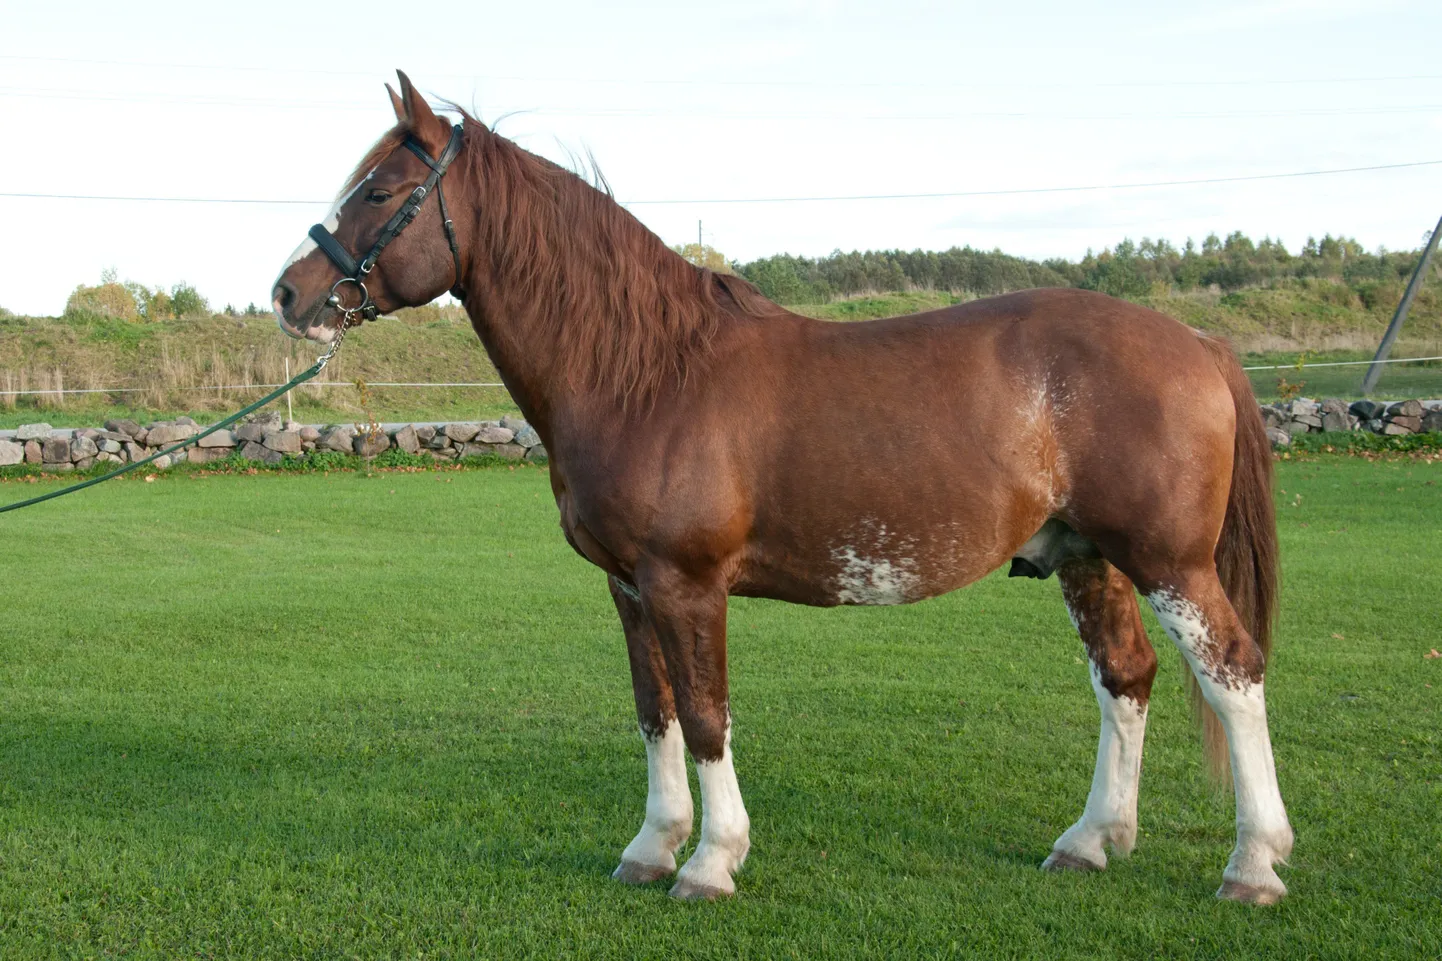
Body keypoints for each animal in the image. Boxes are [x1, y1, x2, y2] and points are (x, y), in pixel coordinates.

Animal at [272, 71, 1297, 900]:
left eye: (380, 189)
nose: (289, 293)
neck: (647, 372)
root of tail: (1195, 340)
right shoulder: (629, 587)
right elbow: (655, 714)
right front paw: (652, 848)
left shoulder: (686, 584)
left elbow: (706, 715)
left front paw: (710, 862)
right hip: (1091, 558)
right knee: (1125, 678)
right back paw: (1091, 840)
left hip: (1171, 564)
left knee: (1235, 673)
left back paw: (1252, 862)